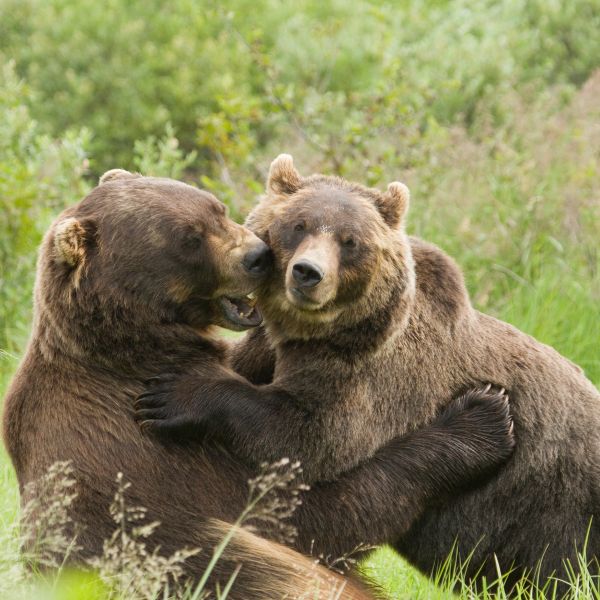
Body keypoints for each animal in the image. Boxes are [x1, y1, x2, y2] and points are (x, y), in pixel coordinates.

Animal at [2, 169, 512, 600]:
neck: (135, 348)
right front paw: (480, 420)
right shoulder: (145, 450)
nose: (258, 257)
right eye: (189, 238)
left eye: (218, 208)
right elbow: (309, 514)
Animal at [136, 156, 600, 592]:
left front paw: (177, 393)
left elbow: (306, 436)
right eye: (298, 225)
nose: (308, 272)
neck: (310, 333)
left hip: (558, 510)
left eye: (350, 241)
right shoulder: (270, 346)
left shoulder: (375, 378)